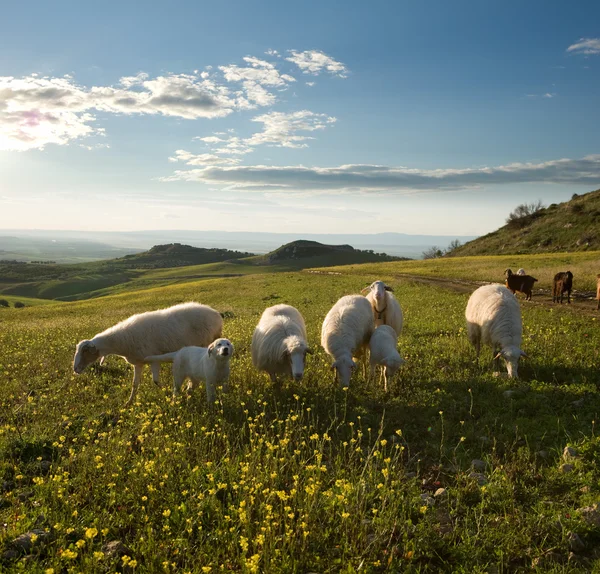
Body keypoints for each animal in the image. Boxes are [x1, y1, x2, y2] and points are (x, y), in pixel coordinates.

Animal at [72, 304, 223, 408]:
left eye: (85, 352)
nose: (75, 369)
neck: (120, 340)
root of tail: (216, 314)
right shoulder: (138, 363)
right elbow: (134, 384)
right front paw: (129, 403)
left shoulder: (154, 360)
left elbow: (156, 381)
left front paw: (167, 393)